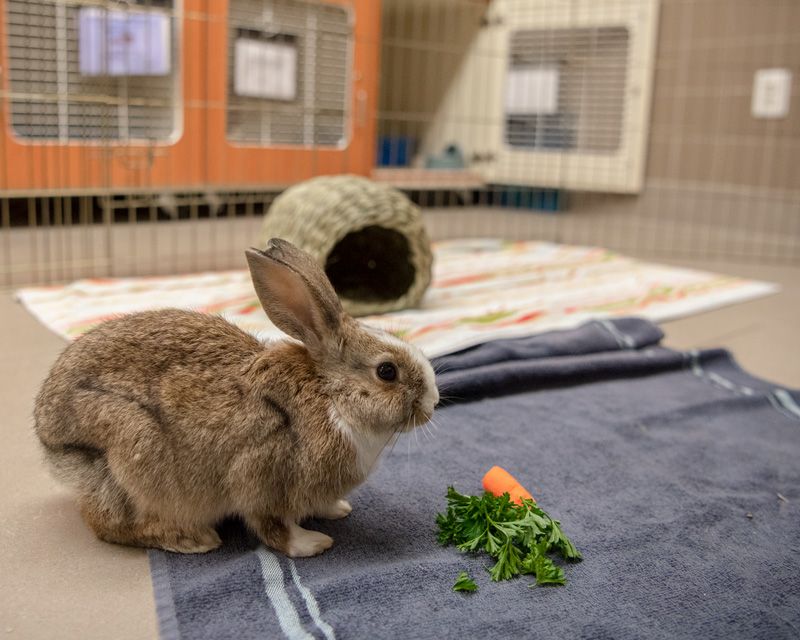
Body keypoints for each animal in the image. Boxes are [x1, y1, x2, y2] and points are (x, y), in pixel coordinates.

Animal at [32, 238, 438, 556]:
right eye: (387, 372)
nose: (433, 401)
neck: (332, 398)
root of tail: (47, 436)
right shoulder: (261, 475)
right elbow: (273, 526)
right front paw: (312, 544)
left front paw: (337, 509)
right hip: (129, 448)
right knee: (108, 525)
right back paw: (194, 540)